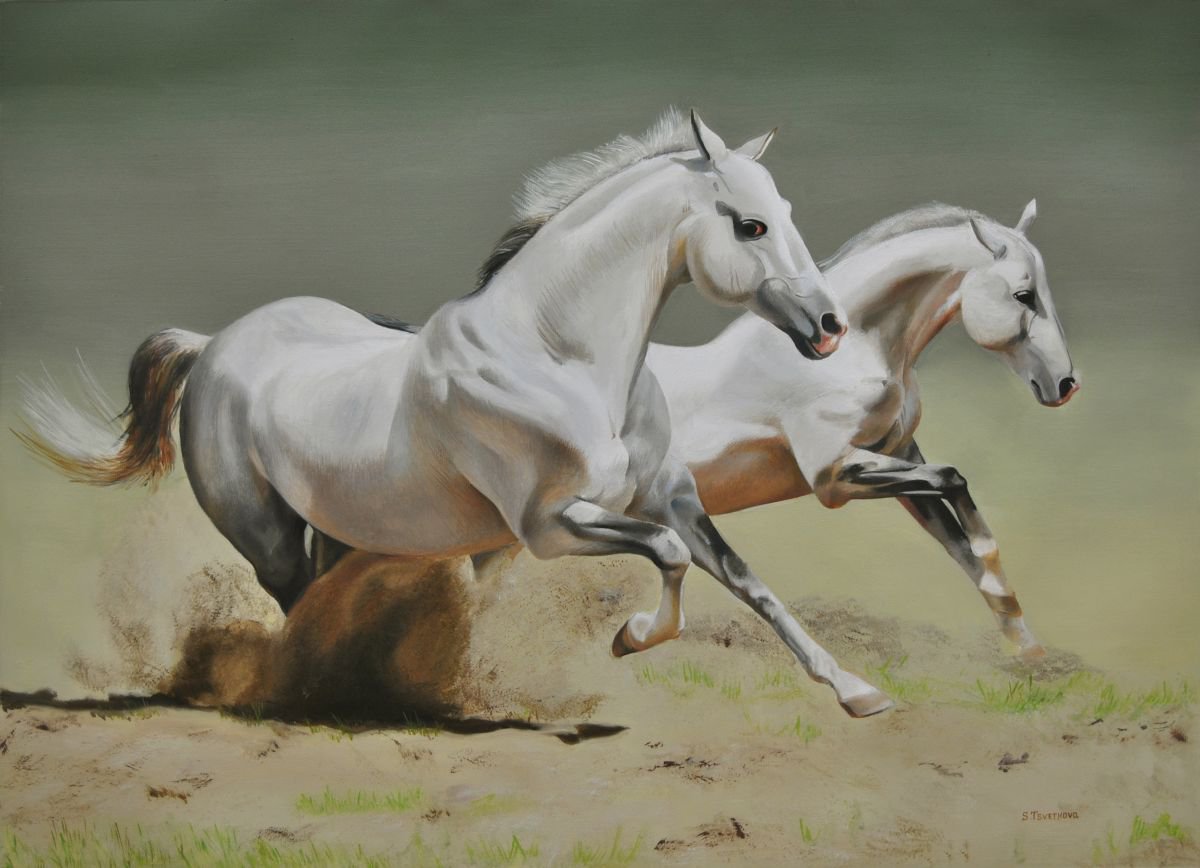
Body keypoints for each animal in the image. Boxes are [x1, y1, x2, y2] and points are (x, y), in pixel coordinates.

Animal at [20, 110, 899, 718]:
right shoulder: (550, 527)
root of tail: (211, 346)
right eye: (750, 224)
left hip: (340, 529)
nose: (827, 327)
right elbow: (670, 557)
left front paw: (858, 692)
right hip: (265, 536)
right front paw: (630, 638)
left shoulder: (671, 499)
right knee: (297, 609)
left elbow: (749, 582)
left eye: (787, 211)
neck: (559, 358)